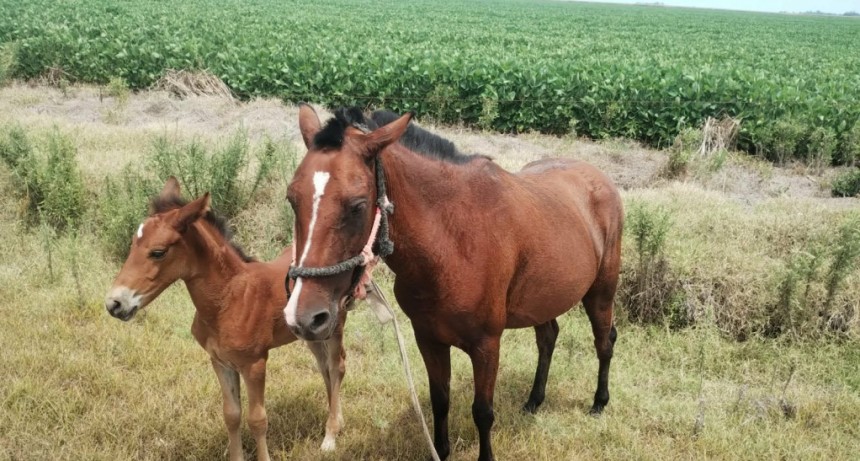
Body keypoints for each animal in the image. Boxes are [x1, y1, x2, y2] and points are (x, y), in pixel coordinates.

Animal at [104, 177, 348, 461]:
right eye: (133, 243)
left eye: (158, 252)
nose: (114, 303)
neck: (229, 299)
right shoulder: (220, 362)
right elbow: (231, 415)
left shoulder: (255, 364)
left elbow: (257, 419)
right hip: (310, 333)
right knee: (324, 368)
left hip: (333, 327)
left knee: (337, 366)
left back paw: (330, 436)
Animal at [283, 105, 623, 461]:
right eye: (292, 199)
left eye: (358, 205)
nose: (305, 317)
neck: (452, 242)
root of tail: (599, 177)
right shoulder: (428, 339)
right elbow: (440, 401)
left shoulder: (487, 345)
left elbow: (482, 412)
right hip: (542, 301)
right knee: (548, 338)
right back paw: (534, 401)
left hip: (601, 291)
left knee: (604, 341)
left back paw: (599, 403)